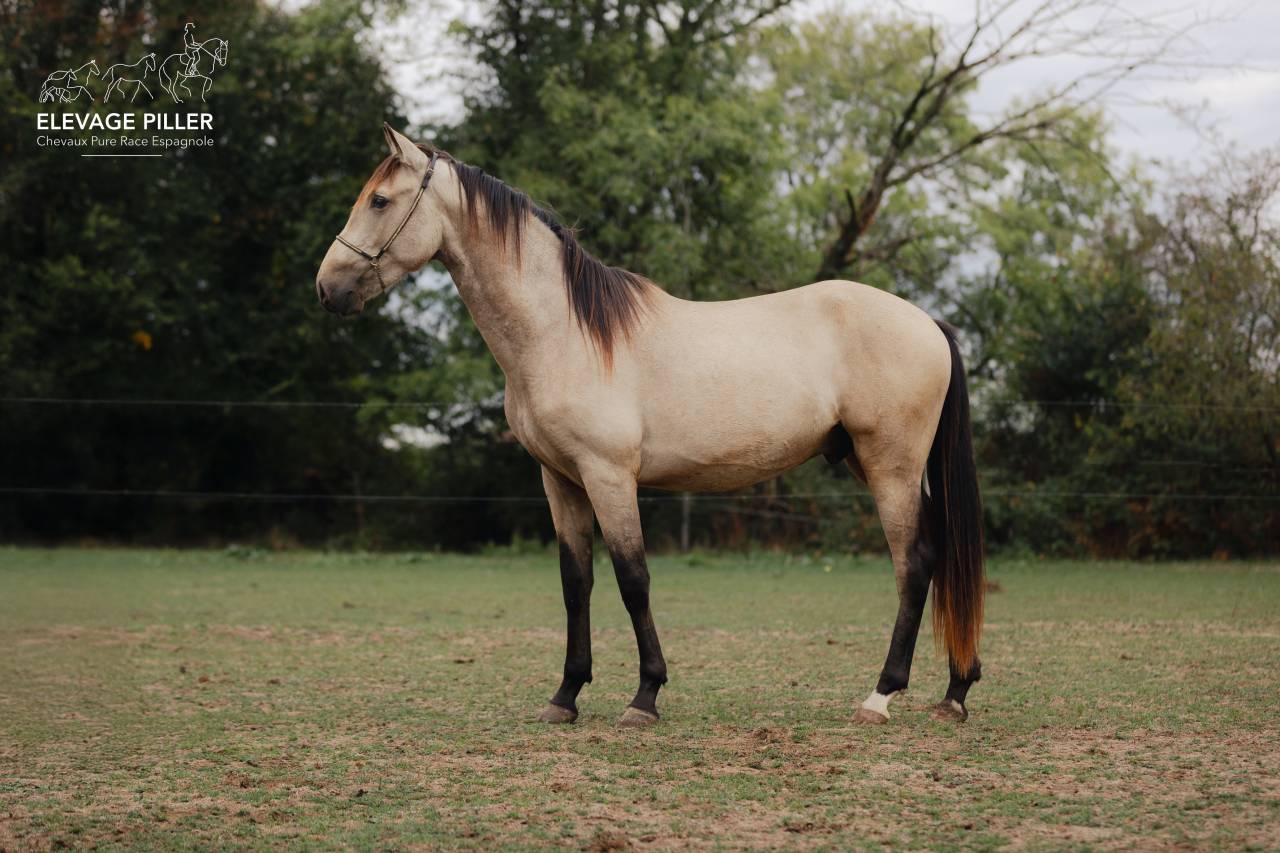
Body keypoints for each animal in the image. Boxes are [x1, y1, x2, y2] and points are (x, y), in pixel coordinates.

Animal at [315, 125, 986, 729]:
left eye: (380, 200)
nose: (327, 288)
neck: (563, 333)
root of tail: (928, 322)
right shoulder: (560, 480)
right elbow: (576, 583)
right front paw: (565, 697)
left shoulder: (610, 477)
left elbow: (632, 579)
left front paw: (644, 697)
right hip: (878, 465)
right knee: (939, 557)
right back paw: (954, 692)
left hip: (890, 466)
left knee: (914, 564)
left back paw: (882, 695)